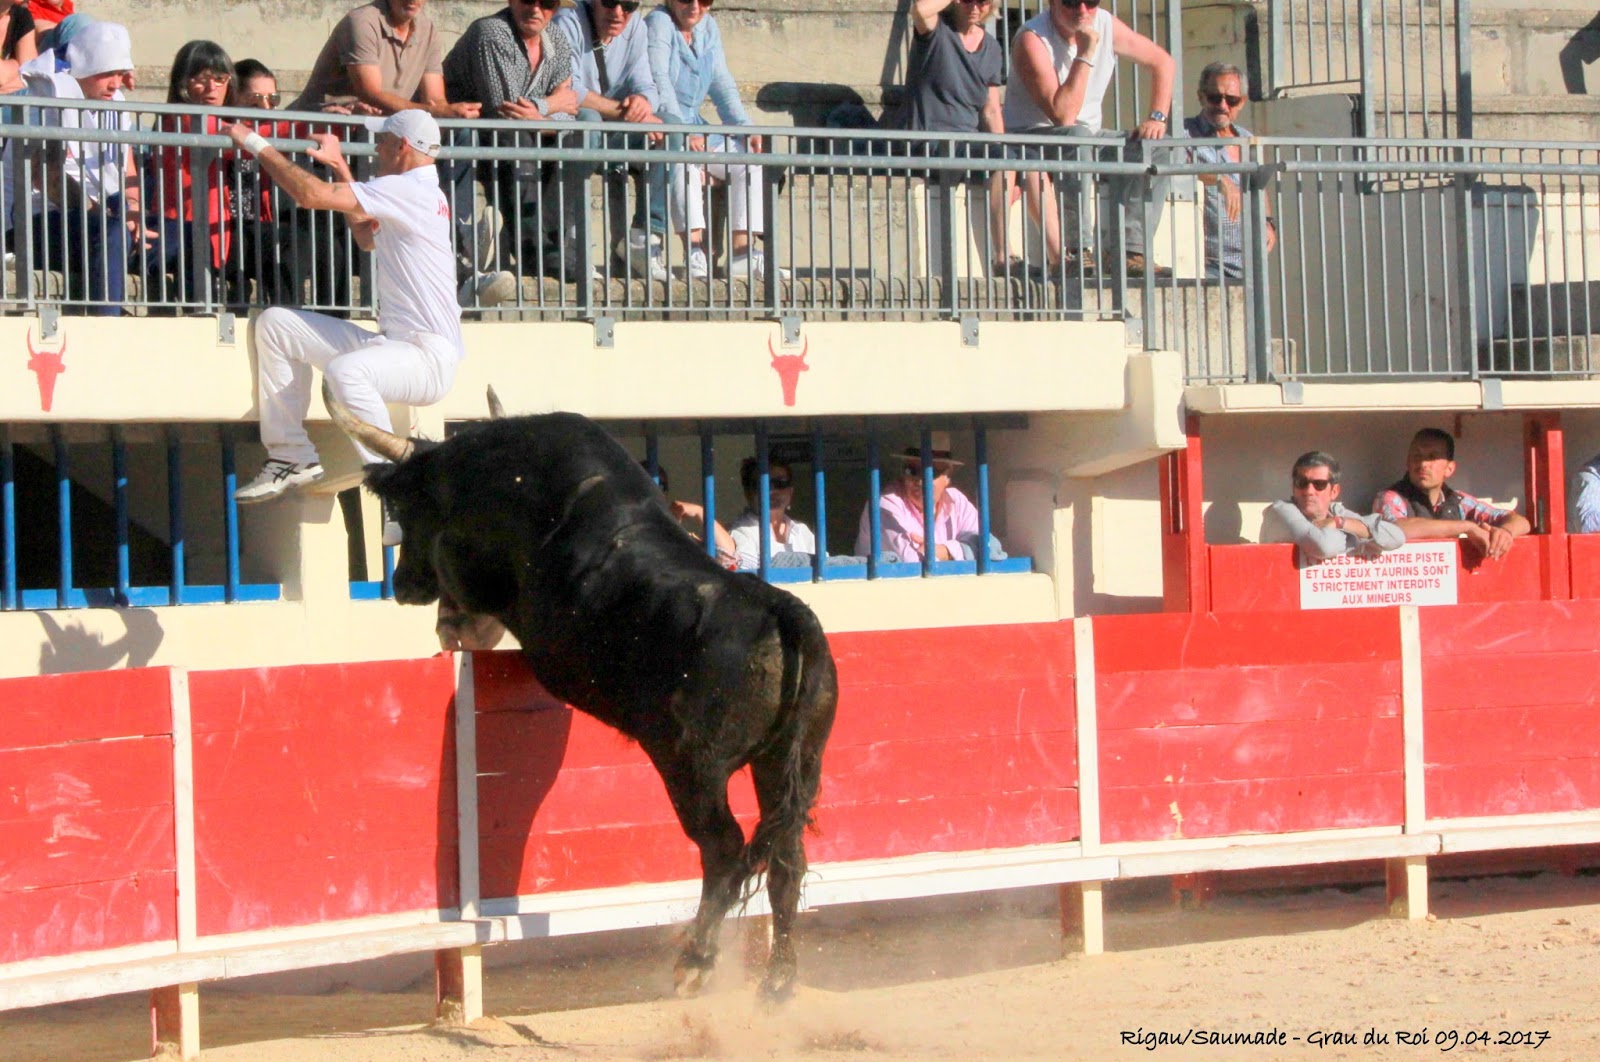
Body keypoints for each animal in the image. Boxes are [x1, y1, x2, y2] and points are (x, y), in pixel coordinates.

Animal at [324, 383, 839, 1001]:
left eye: (405, 513)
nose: (402, 586)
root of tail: (783, 612)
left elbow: (466, 595)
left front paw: (453, 627)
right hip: (792, 760)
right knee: (787, 858)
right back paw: (778, 983)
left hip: (693, 765)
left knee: (724, 847)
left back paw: (696, 960)